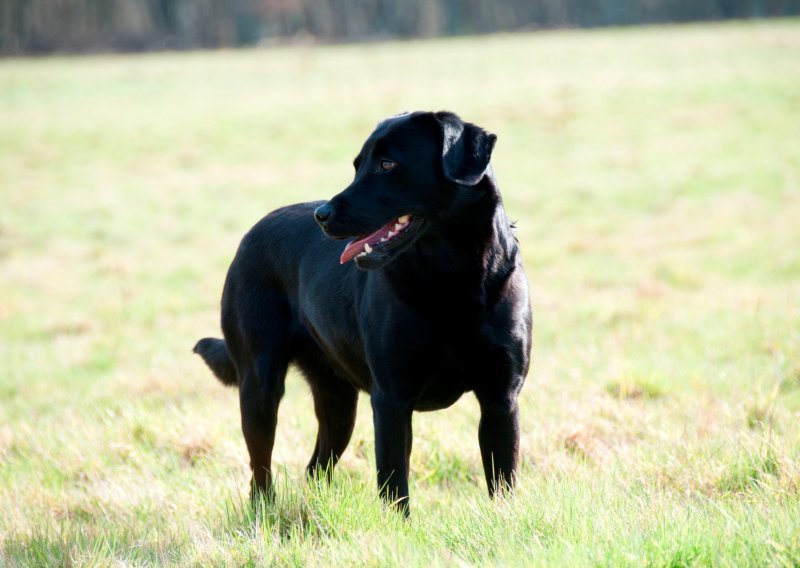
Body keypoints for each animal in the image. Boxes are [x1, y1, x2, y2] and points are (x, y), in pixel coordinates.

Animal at [195, 111, 532, 516]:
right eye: (357, 166)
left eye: (387, 165)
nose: (322, 215)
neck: (453, 280)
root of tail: (252, 232)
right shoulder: (390, 400)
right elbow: (394, 485)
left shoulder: (501, 397)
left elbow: (503, 480)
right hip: (259, 386)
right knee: (260, 472)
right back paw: (265, 515)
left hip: (339, 401)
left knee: (316, 467)